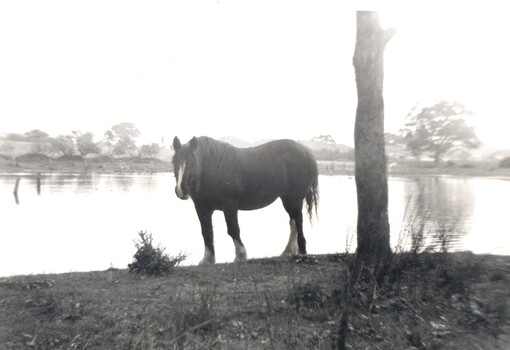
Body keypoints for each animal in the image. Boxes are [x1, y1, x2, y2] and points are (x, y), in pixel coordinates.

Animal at [171, 135, 318, 264]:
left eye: (192, 162)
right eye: (174, 161)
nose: (181, 190)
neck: (215, 168)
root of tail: (308, 152)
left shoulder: (229, 207)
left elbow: (233, 229)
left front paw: (240, 256)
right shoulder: (202, 209)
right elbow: (206, 232)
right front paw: (208, 259)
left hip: (295, 199)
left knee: (298, 222)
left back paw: (302, 252)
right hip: (287, 199)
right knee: (293, 223)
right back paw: (288, 252)